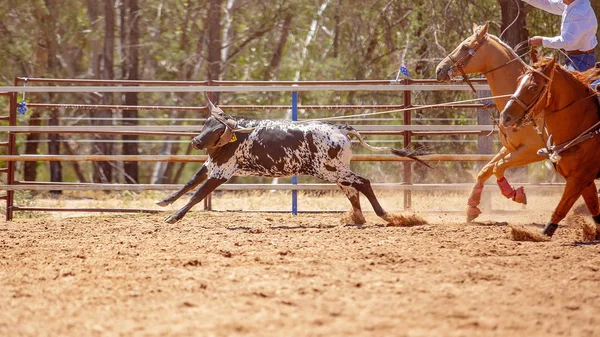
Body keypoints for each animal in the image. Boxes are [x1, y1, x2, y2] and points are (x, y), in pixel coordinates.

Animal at [157, 102, 428, 223]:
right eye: (205, 124)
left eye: (216, 129)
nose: (195, 141)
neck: (237, 136)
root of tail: (339, 128)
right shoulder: (210, 167)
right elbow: (188, 184)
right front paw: (164, 201)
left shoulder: (221, 173)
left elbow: (197, 195)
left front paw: (174, 217)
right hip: (336, 171)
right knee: (353, 189)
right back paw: (358, 218)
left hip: (329, 170)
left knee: (364, 182)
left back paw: (383, 215)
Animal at [434, 24, 548, 223]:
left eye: (465, 46)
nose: (439, 69)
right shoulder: (510, 147)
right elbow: (486, 169)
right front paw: (472, 207)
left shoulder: (533, 150)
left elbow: (497, 167)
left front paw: (516, 194)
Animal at [500, 56, 600, 238]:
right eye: (518, 80)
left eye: (533, 87)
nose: (505, 116)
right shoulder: (585, 181)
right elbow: (594, 208)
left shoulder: (579, 178)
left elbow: (561, 208)